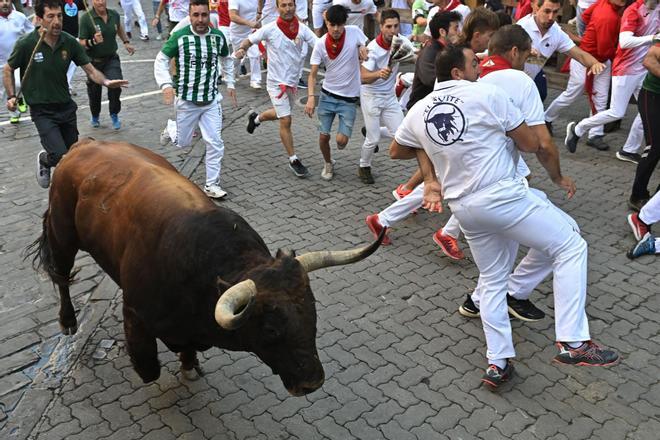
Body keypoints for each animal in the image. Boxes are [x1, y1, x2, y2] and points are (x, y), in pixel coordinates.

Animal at [28, 139, 384, 398]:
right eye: (270, 329)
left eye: (312, 314)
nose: (312, 381)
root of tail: (82, 145)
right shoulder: (135, 313)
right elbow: (149, 368)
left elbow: (186, 352)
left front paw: (189, 365)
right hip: (62, 234)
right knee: (61, 276)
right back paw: (68, 322)